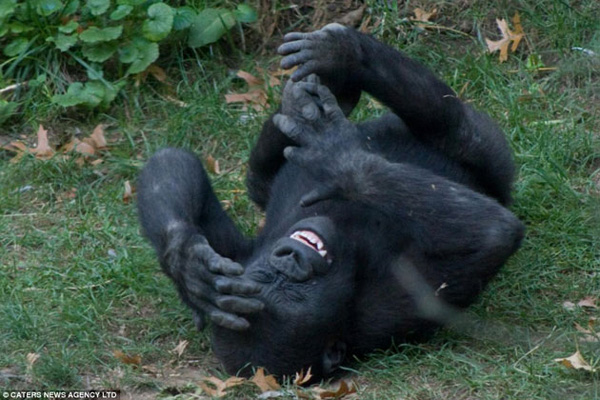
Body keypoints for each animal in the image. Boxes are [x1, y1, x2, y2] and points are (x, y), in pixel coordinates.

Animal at [138, 23, 524, 380]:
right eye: (287, 289)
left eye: (268, 276)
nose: (291, 259)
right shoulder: (399, 301)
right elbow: (493, 234)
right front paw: (339, 156)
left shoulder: (235, 255)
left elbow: (170, 162)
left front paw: (189, 265)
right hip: (490, 150)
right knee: (454, 126)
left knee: (259, 179)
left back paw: (339, 61)